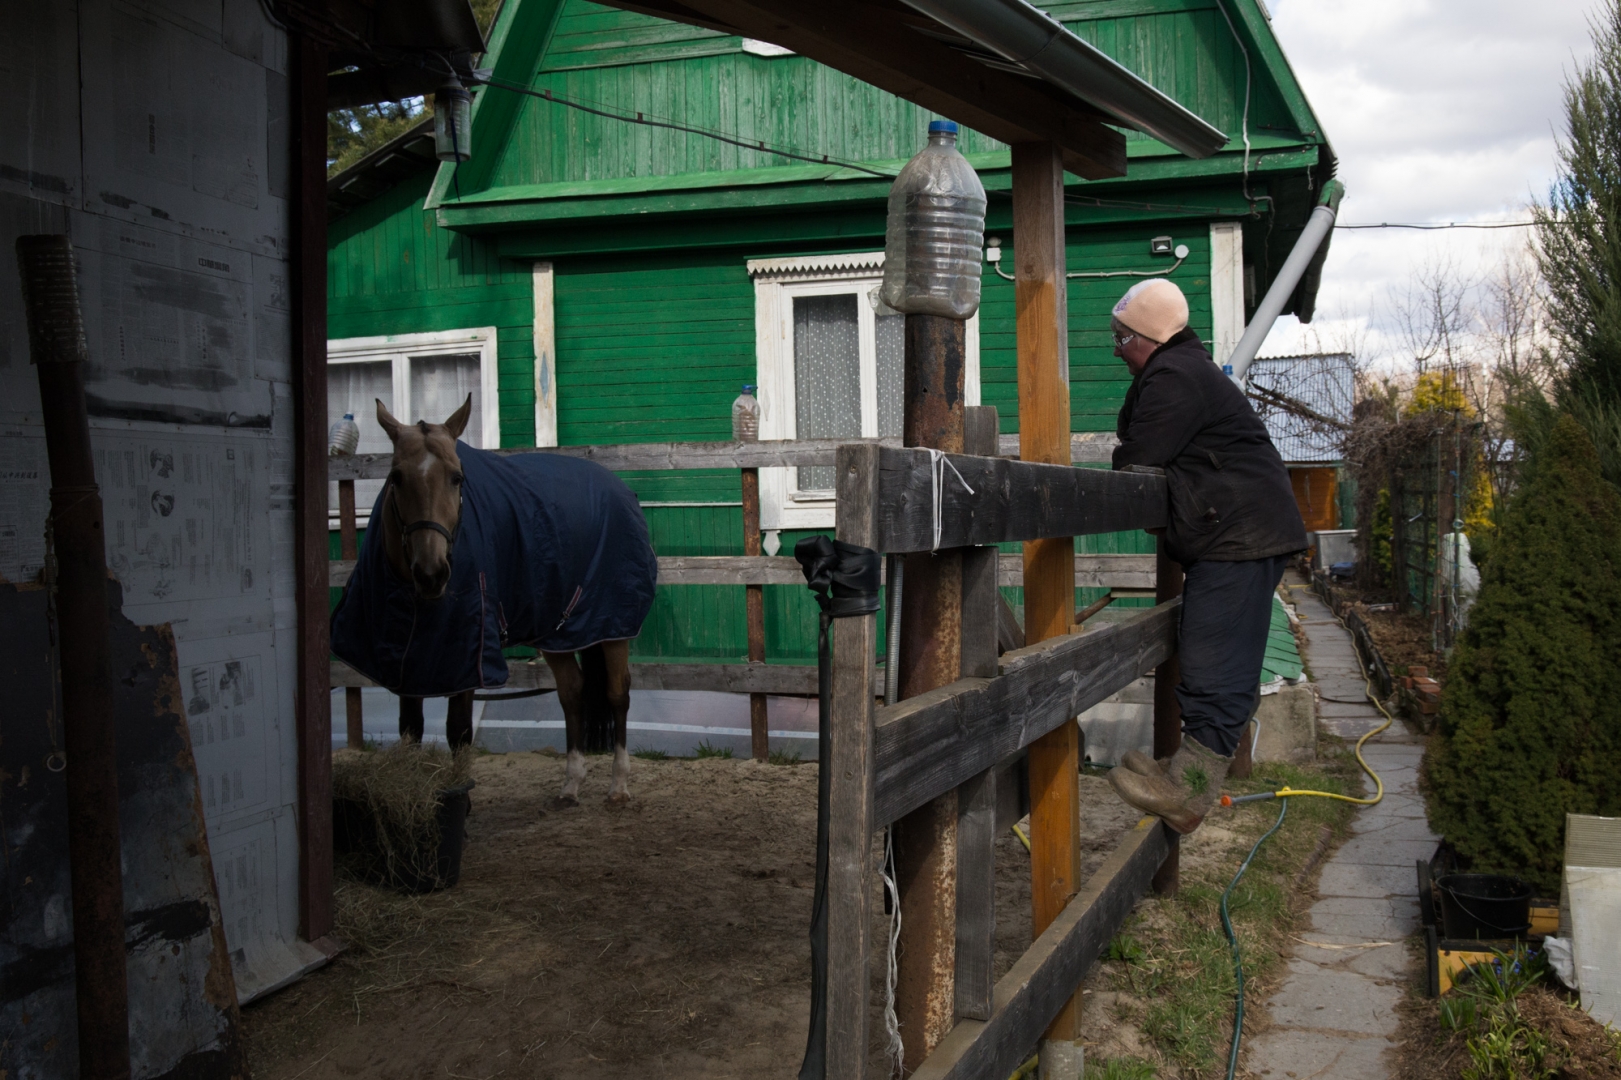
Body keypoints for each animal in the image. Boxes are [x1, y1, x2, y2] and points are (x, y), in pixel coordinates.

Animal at [329, 394, 658, 797]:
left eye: (457, 478)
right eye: (396, 478)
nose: (432, 572)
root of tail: (620, 489)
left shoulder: (468, 659)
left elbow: (459, 731)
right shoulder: (413, 664)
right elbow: (411, 728)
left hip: (611, 626)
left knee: (617, 693)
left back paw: (618, 784)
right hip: (558, 632)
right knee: (572, 693)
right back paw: (571, 784)